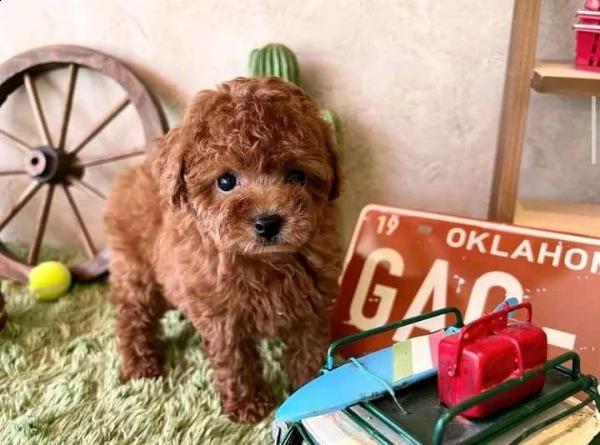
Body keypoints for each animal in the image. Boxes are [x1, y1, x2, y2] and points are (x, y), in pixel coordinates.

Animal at [104, 76, 342, 424]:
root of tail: (134, 171)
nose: (267, 222)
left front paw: (310, 387)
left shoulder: (312, 303)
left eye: (297, 175)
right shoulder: (222, 318)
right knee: (132, 316)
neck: (265, 261)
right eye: (226, 181)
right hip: (137, 272)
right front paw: (248, 405)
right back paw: (140, 366)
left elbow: (308, 348)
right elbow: (235, 361)